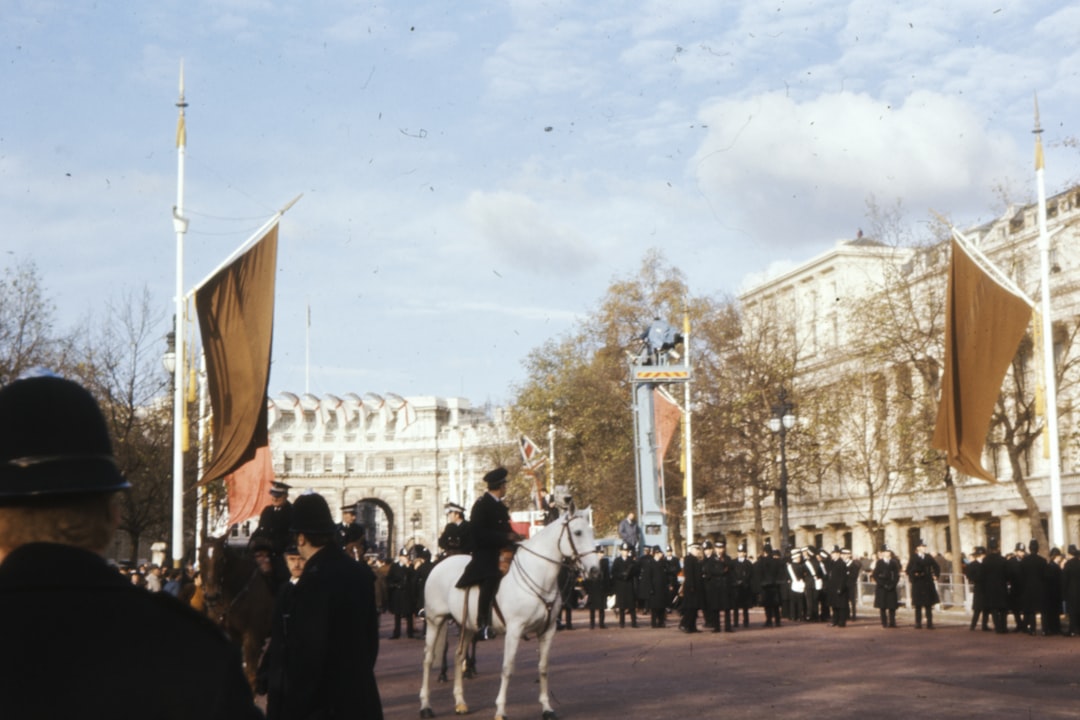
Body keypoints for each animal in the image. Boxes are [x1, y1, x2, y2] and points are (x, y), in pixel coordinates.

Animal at [419, 509, 600, 716]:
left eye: (592, 532)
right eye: (577, 533)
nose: (595, 570)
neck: (538, 574)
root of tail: (439, 565)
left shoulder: (547, 631)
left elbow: (543, 667)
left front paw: (547, 707)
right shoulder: (514, 630)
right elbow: (507, 668)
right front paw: (500, 710)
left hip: (468, 626)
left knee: (459, 656)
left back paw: (460, 702)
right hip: (435, 620)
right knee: (428, 659)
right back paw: (425, 706)